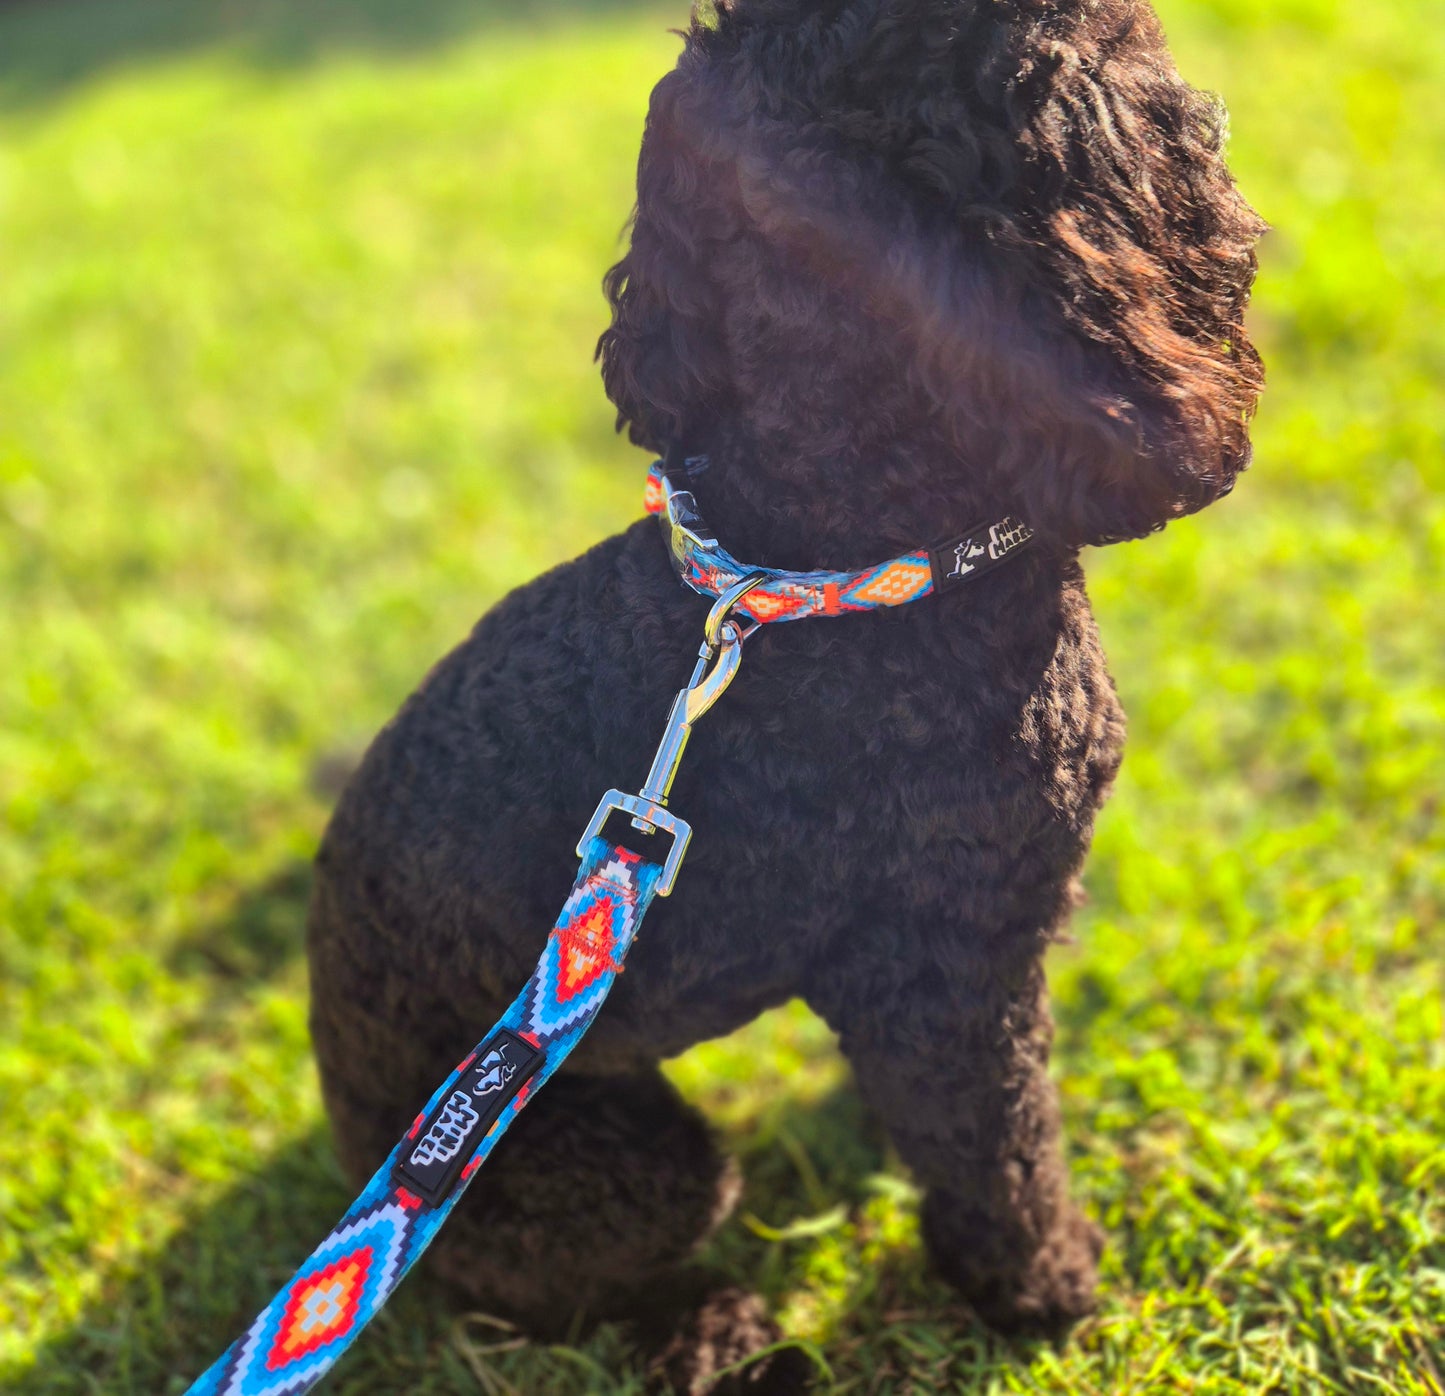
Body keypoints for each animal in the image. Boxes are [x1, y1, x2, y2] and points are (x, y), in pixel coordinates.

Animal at [307, 2, 1265, 1387]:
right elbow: (1000, 1151)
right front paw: (1047, 1291)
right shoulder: (945, 968)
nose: (1205, 112)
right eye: (1098, 54)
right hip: (612, 1167)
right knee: (547, 1293)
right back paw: (720, 1328)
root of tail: (348, 1129)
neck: (848, 565)